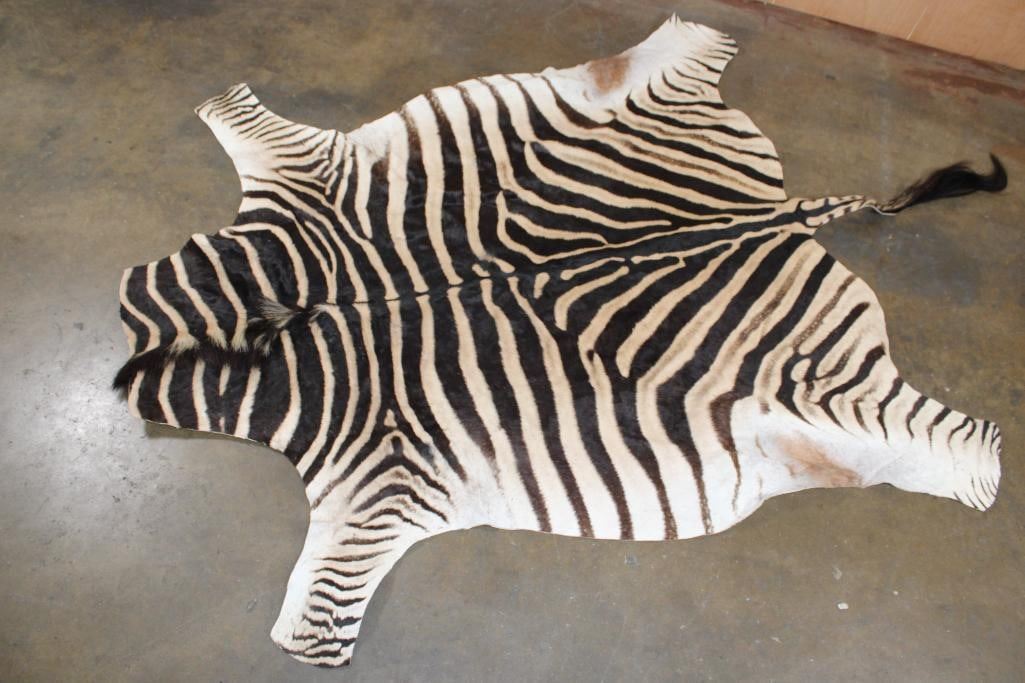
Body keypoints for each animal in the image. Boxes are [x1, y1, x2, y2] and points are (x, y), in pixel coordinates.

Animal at [113, 17, 1006, 666]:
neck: (311, 317)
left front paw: (302, 641)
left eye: (155, 379)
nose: (121, 352)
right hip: (645, 110)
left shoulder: (378, 481)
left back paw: (982, 471)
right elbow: (242, 121)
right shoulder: (305, 182)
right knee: (674, 56)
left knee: (945, 440)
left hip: (836, 398)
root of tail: (768, 213)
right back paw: (696, 40)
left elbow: (319, 608)